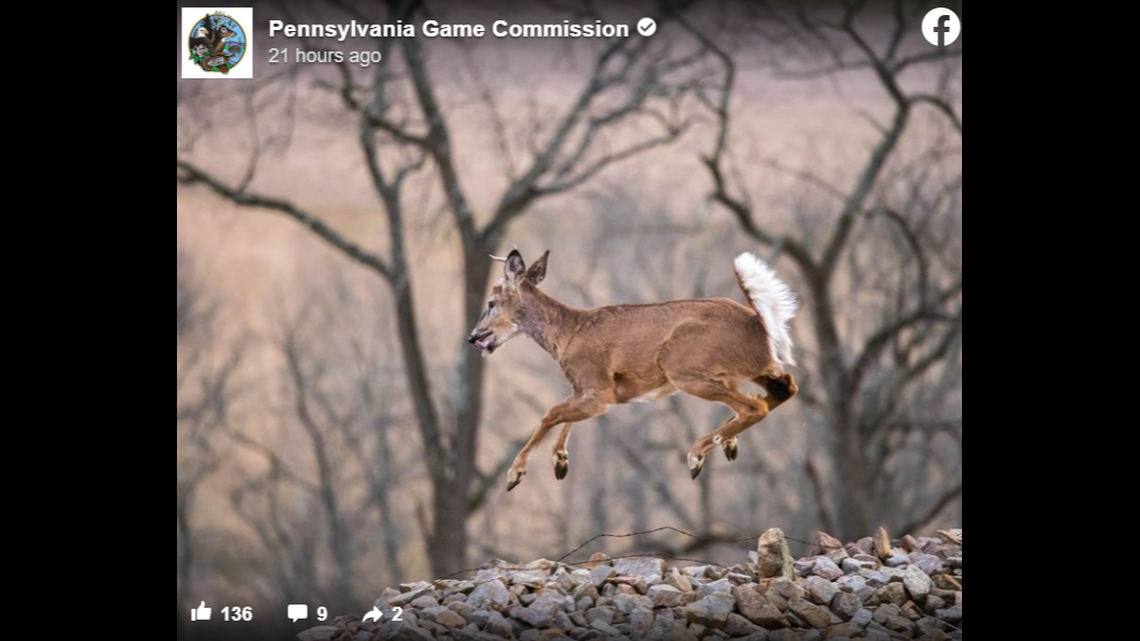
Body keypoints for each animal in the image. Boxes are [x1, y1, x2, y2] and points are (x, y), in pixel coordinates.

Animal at [467, 248, 799, 491]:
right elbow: (562, 413)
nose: (473, 337)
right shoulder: (592, 390)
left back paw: (697, 456)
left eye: (491, 302)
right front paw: (560, 461)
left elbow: (550, 412)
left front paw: (515, 473)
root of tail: (759, 322)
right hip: (753, 369)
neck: (566, 335)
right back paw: (726, 443)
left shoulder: (598, 389)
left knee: (754, 407)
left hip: (683, 365)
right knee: (784, 389)